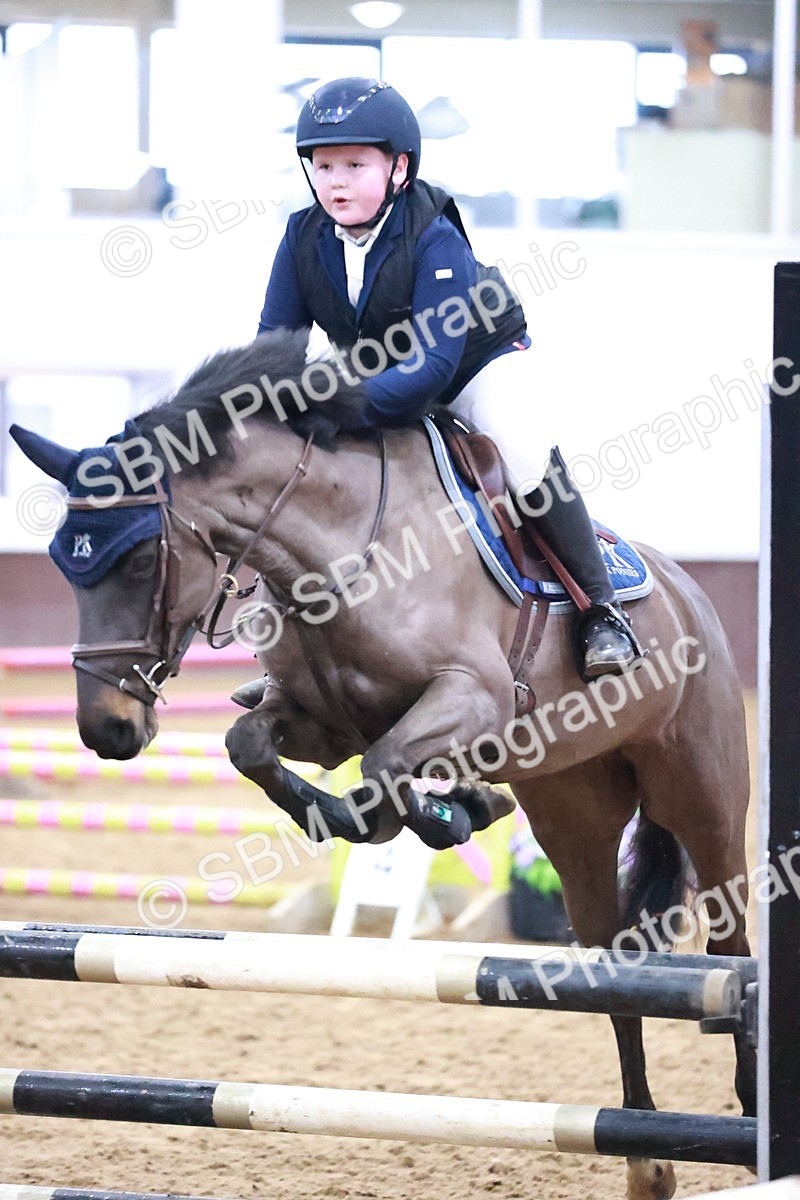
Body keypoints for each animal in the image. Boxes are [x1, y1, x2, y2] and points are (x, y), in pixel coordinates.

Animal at [11, 328, 754, 1200]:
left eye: (135, 562)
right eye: (64, 562)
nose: (107, 730)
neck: (335, 547)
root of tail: (688, 591)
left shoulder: (472, 698)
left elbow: (387, 763)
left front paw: (446, 812)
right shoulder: (321, 722)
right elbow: (260, 747)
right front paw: (431, 811)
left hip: (700, 800)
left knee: (733, 946)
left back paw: (748, 1119)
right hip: (575, 816)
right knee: (613, 966)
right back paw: (645, 1160)